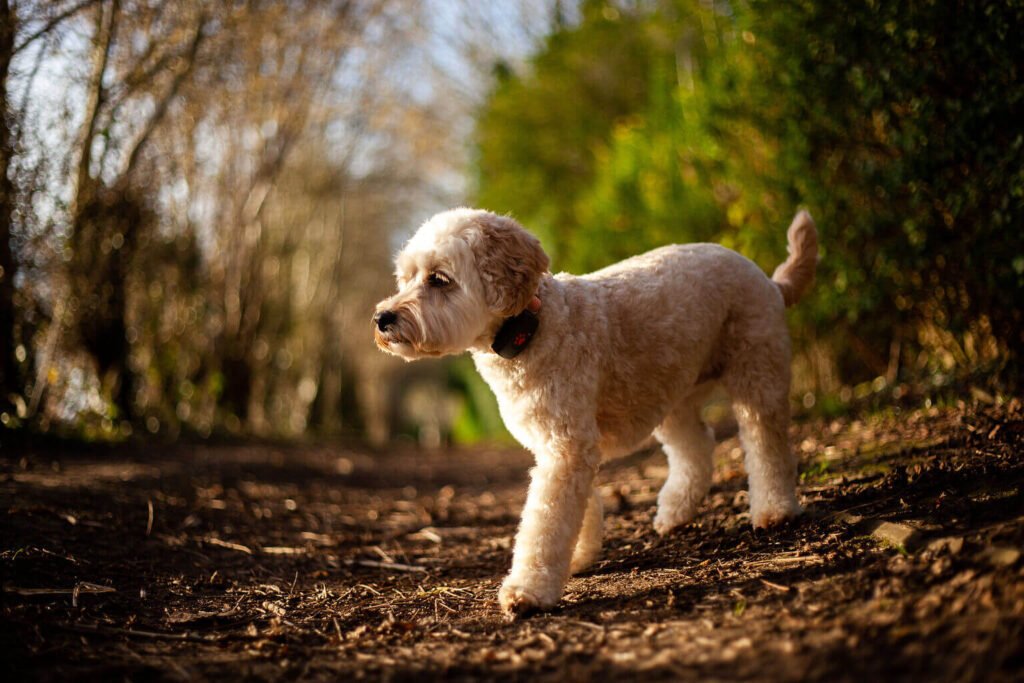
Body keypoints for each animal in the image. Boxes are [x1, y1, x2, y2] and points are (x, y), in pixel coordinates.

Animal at [374, 208, 815, 618]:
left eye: (439, 279)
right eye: (406, 278)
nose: (382, 317)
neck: (533, 327)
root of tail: (768, 280)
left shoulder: (566, 448)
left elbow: (545, 522)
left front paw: (529, 590)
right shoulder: (559, 447)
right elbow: (576, 509)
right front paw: (577, 558)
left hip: (756, 375)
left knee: (766, 444)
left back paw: (775, 510)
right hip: (671, 394)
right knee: (696, 446)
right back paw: (675, 512)